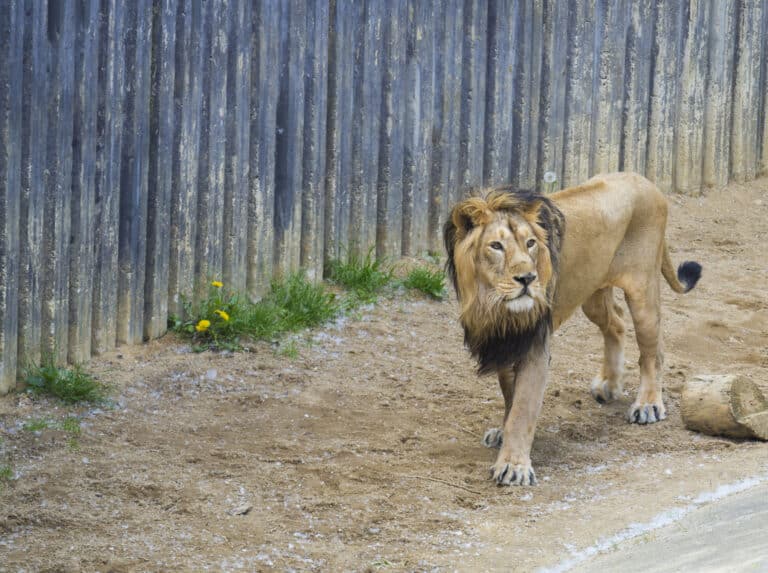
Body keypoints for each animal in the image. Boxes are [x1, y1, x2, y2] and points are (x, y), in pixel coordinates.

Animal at [444, 172, 704, 484]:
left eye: (530, 243)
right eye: (496, 246)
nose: (528, 278)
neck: (493, 304)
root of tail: (643, 179)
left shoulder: (534, 343)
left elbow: (522, 408)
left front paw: (514, 466)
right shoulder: (506, 340)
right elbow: (510, 397)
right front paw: (503, 435)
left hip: (643, 289)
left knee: (653, 351)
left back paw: (648, 405)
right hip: (592, 293)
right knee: (616, 323)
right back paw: (609, 385)